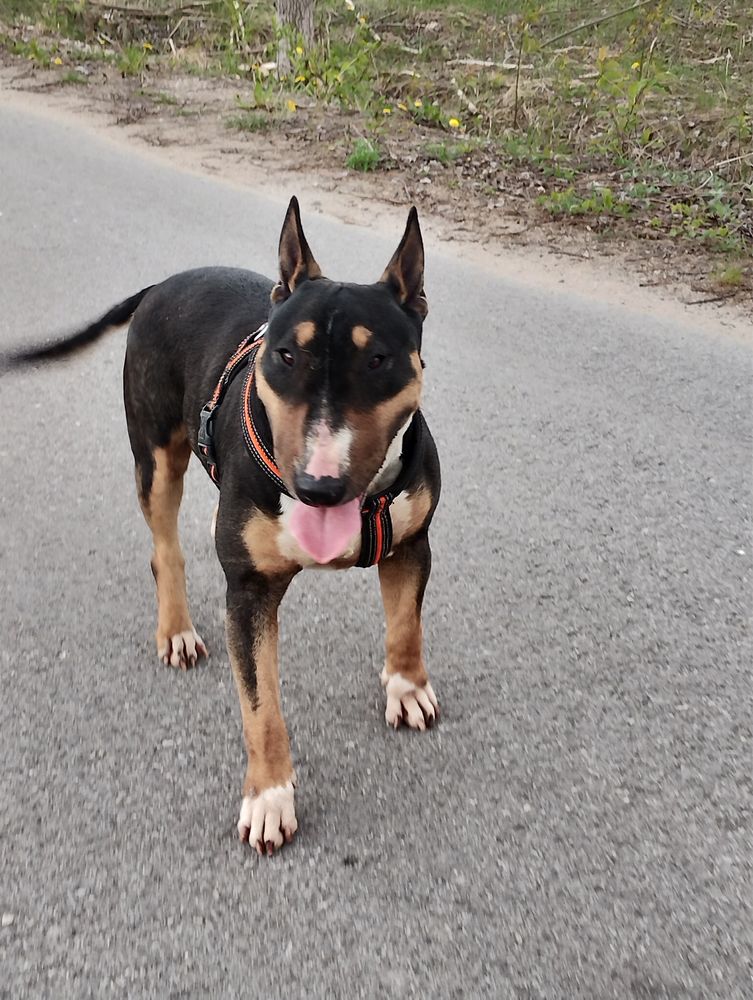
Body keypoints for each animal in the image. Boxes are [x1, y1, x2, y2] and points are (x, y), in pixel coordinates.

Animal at [4, 199, 440, 856]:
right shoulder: (249, 594)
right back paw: (176, 631)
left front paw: (406, 688)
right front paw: (269, 799)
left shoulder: (412, 544)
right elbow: (261, 708)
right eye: (285, 356)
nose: (318, 488)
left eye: (378, 359)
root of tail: (163, 284)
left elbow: (406, 624)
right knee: (165, 547)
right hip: (156, 456)